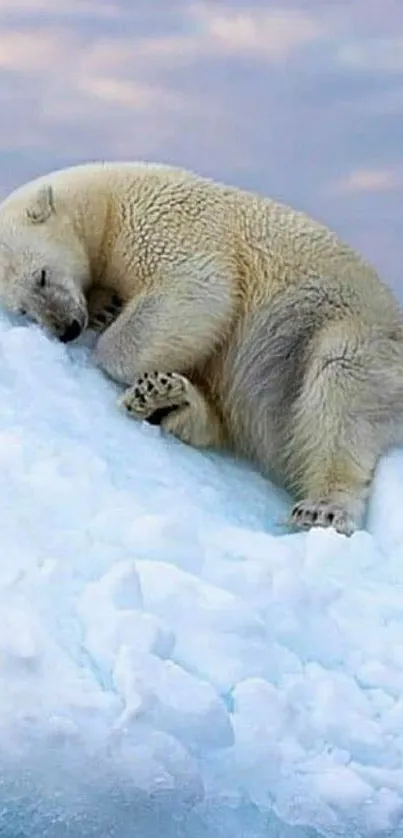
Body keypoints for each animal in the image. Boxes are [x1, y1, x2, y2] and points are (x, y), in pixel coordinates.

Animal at [0, 160, 403, 536]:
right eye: (23, 310)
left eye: (41, 276)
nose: (66, 329)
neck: (108, 200)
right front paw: (105, 308)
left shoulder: (165, 223)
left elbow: (196, 289)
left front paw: (109, 340)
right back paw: (164, 400)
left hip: (348, 330)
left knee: (340, 386)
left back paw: (322, 508)